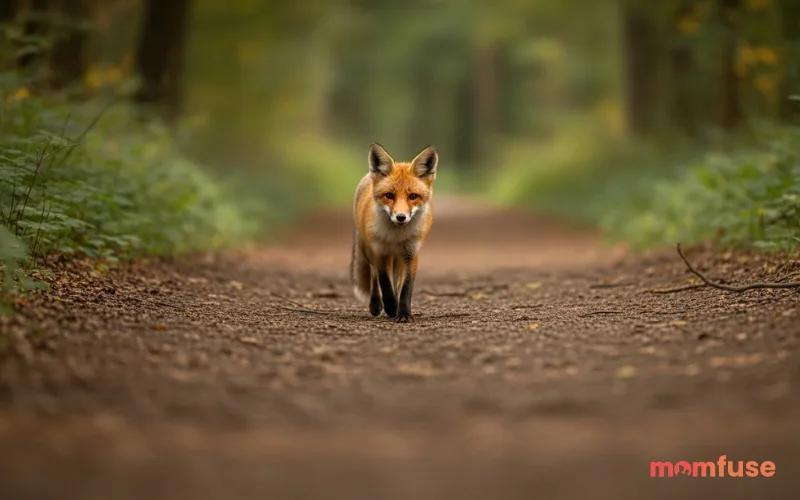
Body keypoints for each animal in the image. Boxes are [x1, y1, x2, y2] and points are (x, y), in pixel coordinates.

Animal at [351, 143, 438, 322]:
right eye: (389, 195)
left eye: (413, 196)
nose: (401, 217)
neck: (394, 237)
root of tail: (367, 177)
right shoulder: (379, 252)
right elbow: (384, 282)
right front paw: (391, 307)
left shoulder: (411, 253)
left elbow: (406, 287)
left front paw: (403, 313)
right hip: (367, 251)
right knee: (374, 277)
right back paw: (376, 305)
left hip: (398, 259)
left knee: (396, 282)